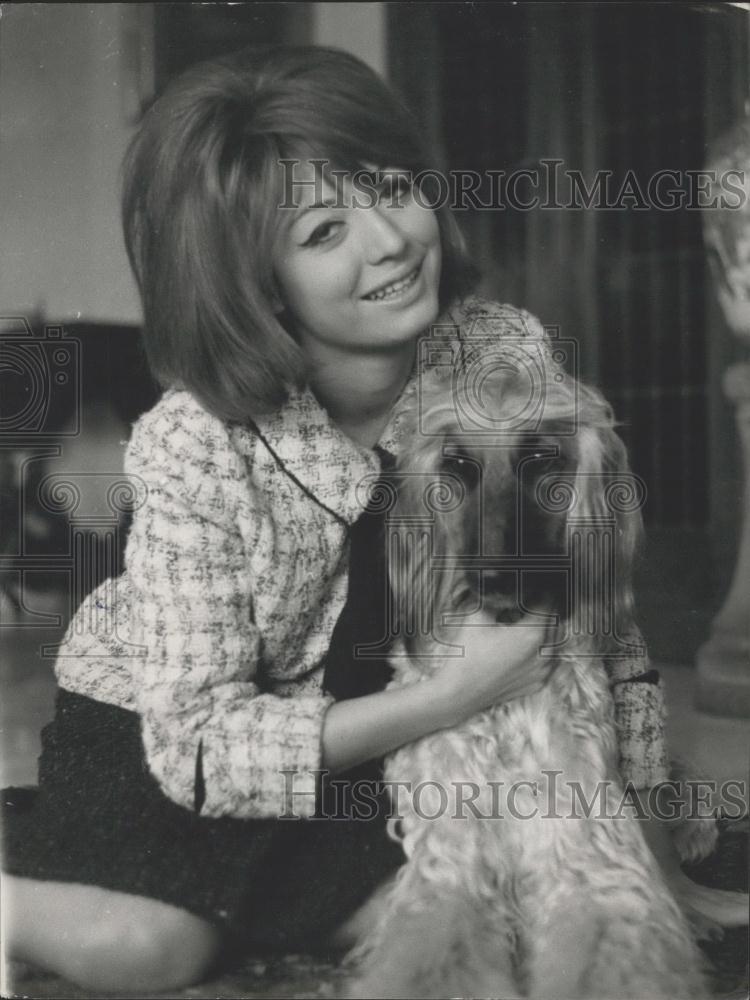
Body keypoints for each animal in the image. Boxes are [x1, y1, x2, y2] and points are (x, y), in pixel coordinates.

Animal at [346, 364, 748, 1000]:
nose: (491, 580)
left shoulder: (589, 861)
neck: (504, 711)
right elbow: (429, 958)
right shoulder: (453, 871)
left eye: (539, 457)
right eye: (457, 464)